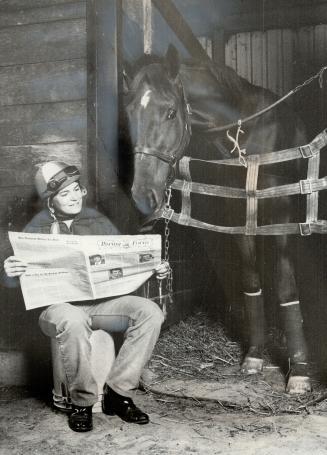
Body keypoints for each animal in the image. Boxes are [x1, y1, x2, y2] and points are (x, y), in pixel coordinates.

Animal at [125, 43, 312, 396]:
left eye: (171, 112)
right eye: (130, 113)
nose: (143, 196)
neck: (246, 135)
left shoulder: (280, 214)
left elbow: (285, 286)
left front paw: (299, 372)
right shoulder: (239, 216)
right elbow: (250, 281)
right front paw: (254, 356)